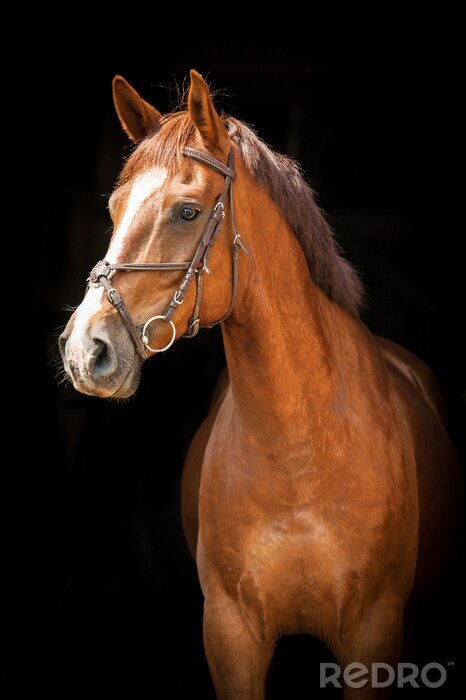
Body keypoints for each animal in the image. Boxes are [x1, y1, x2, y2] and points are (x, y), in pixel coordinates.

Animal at [59, 70, 461, 698]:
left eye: (187, 212)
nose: (86, 350)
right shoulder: (231, 635)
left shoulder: (374, 633)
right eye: (115, 207)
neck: (300, 458)